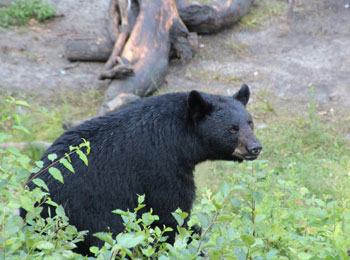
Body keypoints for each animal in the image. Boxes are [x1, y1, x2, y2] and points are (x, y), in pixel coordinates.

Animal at [23, 84, 262, 255]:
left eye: (249, 123)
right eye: (232, 128)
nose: (255, 147)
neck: (179, 136)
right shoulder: (161, 166)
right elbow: (169, 214)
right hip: (82, 211)